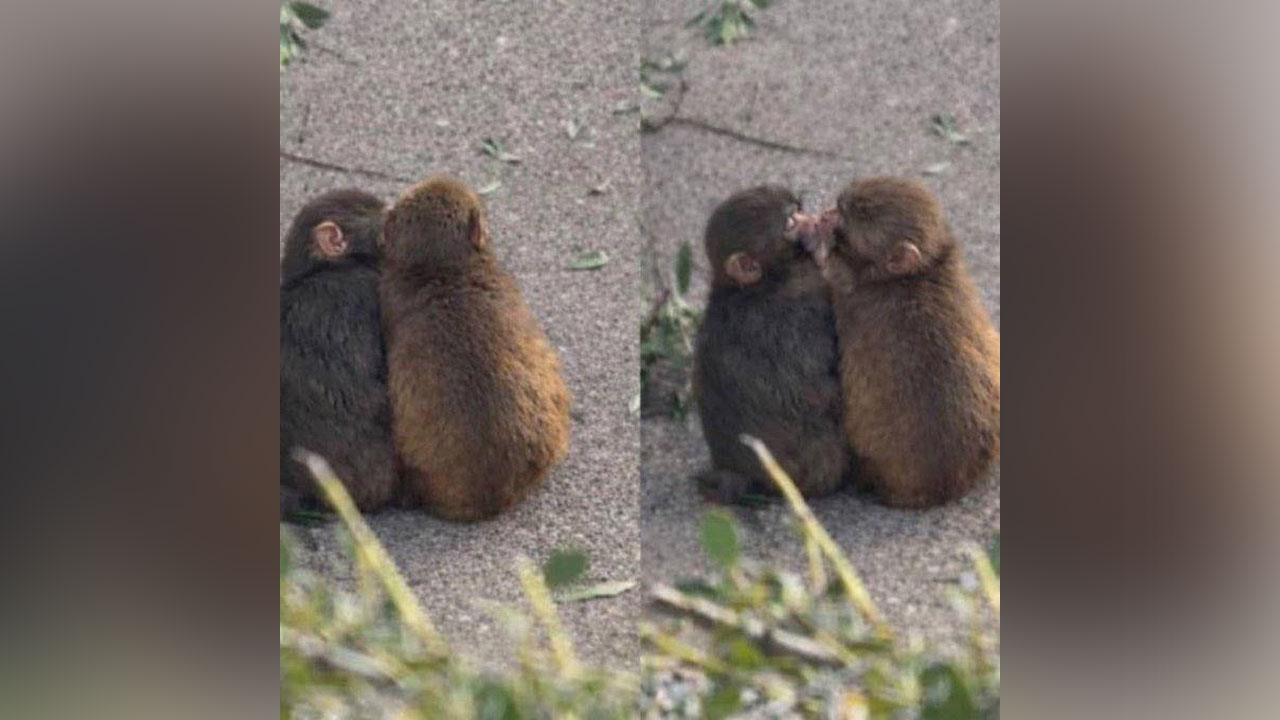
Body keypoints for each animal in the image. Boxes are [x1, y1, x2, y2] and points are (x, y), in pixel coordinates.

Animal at [805, 177, 1000, 508]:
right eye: (840, 208)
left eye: (848, 217)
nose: (828, 214)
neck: (918, 274)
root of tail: (946, 487)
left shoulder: (852, 296)